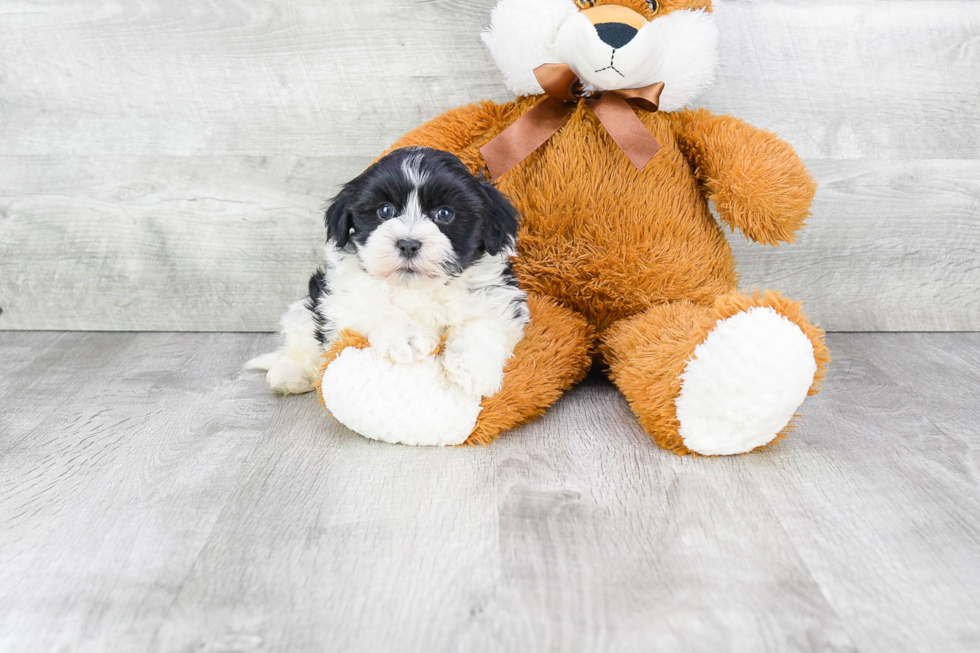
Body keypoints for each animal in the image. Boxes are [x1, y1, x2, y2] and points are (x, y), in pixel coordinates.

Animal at [249, 147, 532, 398]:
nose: (408, 243)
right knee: (301, 343)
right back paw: (290, 375)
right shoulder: (339, 298)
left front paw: (472, 368)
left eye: (444, 214)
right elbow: (374, 307)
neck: (417, 289)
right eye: (385, 210)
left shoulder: (498, 298)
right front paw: (407, 335)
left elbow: (483, 323)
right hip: (306, 308)